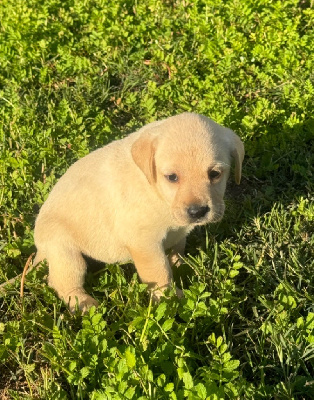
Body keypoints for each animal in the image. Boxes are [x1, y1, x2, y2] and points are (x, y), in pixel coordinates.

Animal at [33, 112, 245, 312]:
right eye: (172, 177)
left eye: (215, 174)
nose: (197, 211)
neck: (156, 191)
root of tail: (39, 250)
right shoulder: (145, 243)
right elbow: (159, 272)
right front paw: (170, 298)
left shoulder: (176, 233)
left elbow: (178, 247)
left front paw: (180, 263)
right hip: (65, 252)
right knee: (61, 283)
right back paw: (84, 303)